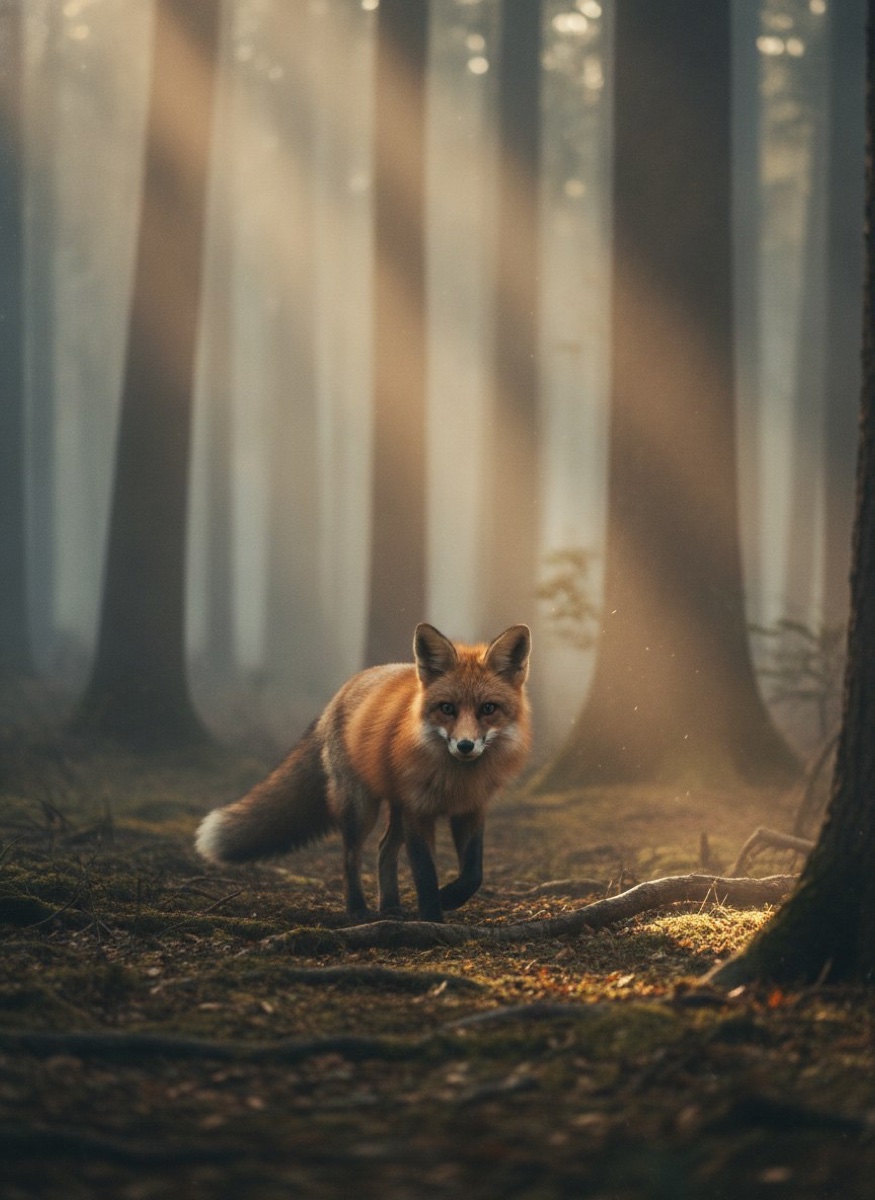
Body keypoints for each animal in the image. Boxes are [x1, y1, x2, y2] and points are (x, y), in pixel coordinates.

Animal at [195, 622, 531, 922]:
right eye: (447, 708)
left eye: (488, 709)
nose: (465, 746)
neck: (455, 780)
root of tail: (340, 693)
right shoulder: (419, 811)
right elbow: (425, 873)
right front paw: (433, 918)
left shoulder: (471, 809)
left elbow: (473, 874)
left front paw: (448, 898)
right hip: (361, 808)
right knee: (351, 858)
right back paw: (358, 909)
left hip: (395, 808)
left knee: (384, 850)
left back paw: (391, 907)